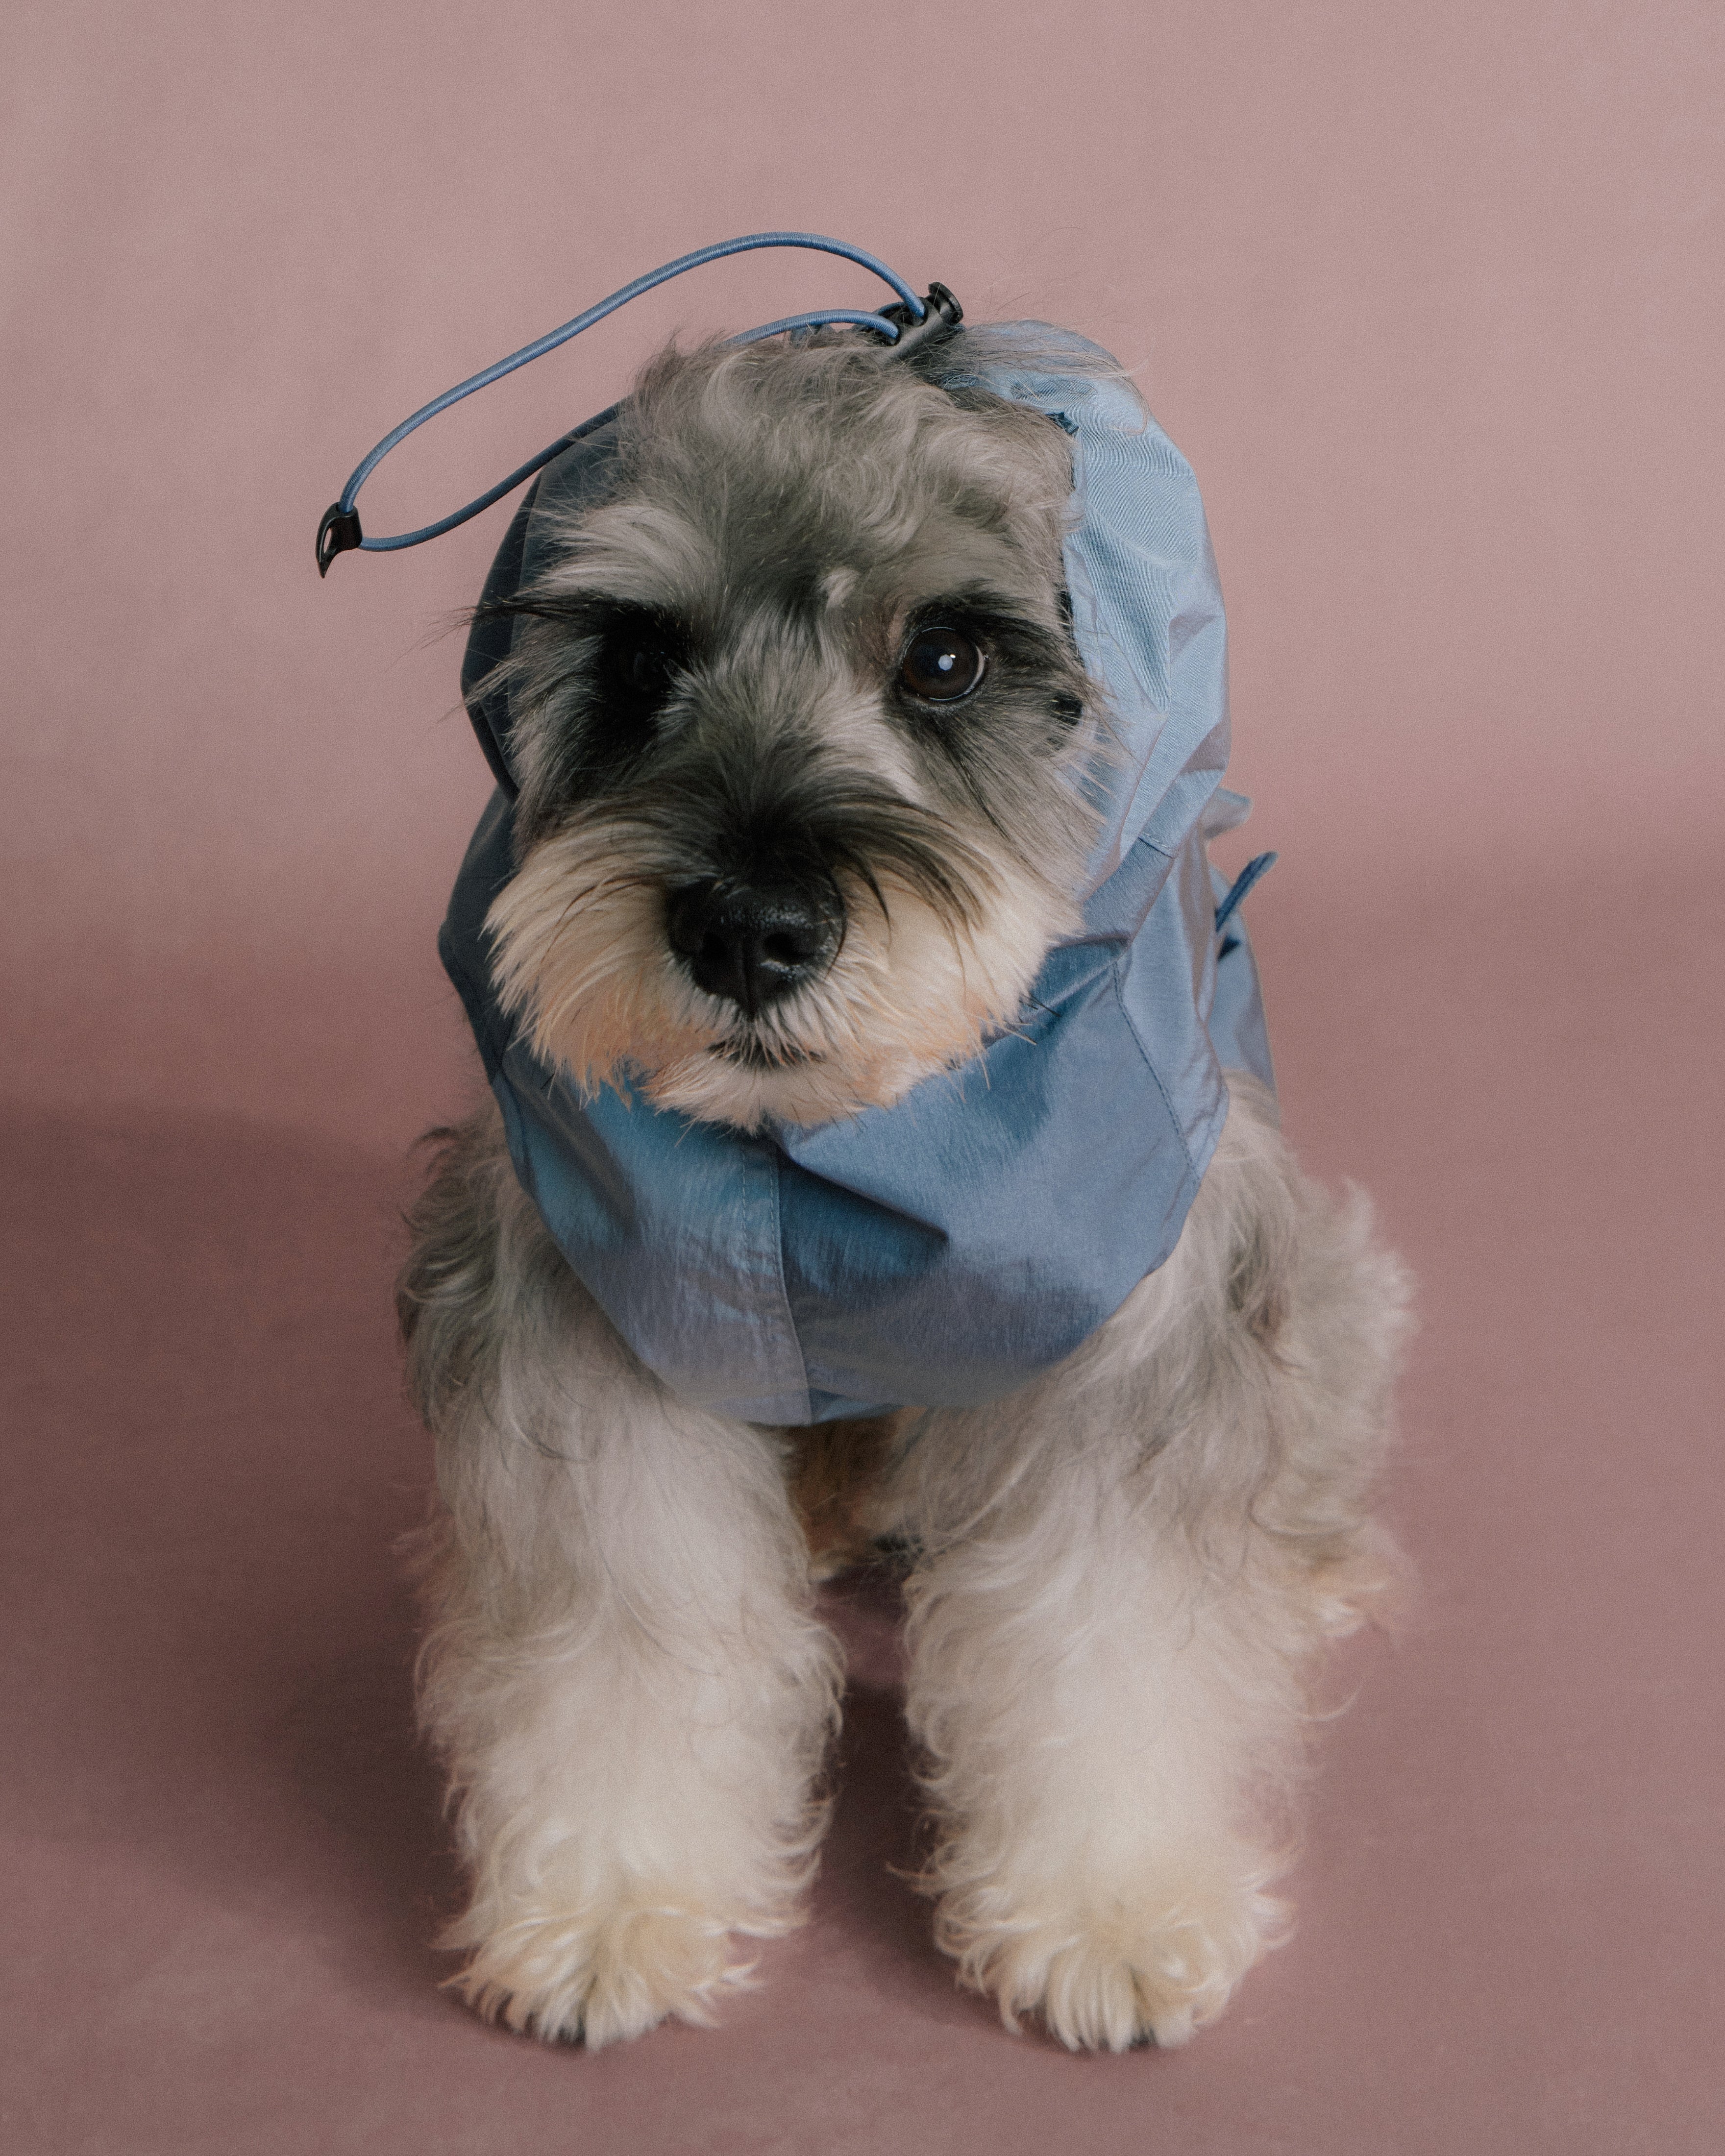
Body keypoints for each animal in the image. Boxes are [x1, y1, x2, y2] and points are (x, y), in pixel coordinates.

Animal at [396, 319, 1405, 2052]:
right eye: (638, 660)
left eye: (947, 659)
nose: (746, 930)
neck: (828, 1154)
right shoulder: (590, 1323)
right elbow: (623, 1630)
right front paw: (613, 1900)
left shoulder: (1128, 1338)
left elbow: (1109, 1633)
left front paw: (1109, 1902)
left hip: (1321, 1278)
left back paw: (1309, 1563)